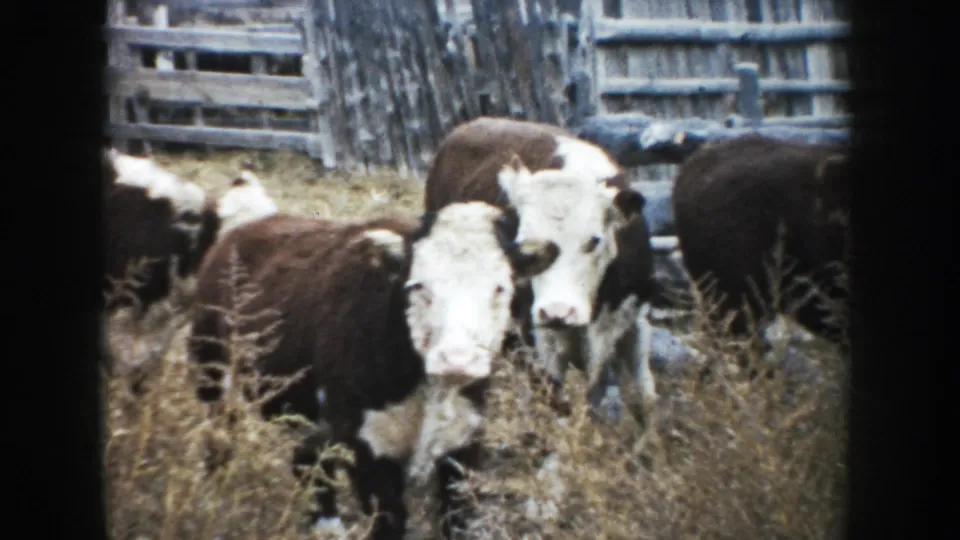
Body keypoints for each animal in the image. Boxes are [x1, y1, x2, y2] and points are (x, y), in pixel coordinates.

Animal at [188, 201, 561, 540]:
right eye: (418, 285)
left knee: (308, 460)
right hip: (213, 375)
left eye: (500, 287)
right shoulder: (367, 448)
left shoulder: (463, 443)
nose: (457, 359)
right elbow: (387, 522)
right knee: (218, 440)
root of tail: (243, 232)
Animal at [424, 116, 660, 428]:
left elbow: (643, 399)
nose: (558, 311)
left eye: (594, 240)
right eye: (526, 243)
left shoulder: (637, 321)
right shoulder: (540, 343)